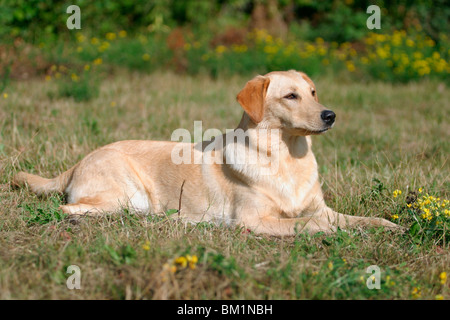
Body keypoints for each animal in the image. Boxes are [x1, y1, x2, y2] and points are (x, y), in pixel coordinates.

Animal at [13, 70, 400, 235]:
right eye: (291, 96)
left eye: (313, 92)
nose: (330, 115)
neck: (287, 157)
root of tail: (79, 161)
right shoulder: (255, 220)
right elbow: (310, 222)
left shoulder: (323, 207)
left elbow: (352, 218)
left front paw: (387, 226)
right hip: (127, 195)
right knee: (72, 208)